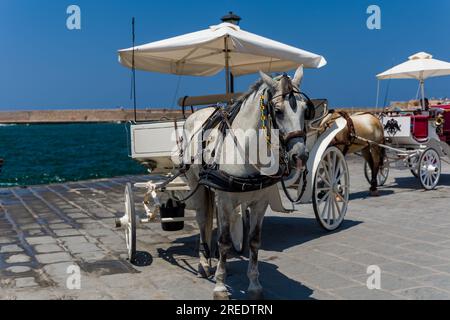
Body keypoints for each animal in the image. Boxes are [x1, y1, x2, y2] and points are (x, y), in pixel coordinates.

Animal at [181, 65, 312, 300]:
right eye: (278, 110)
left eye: (306, 110)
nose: (300, 156)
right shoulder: (225, 201)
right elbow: (224, 242)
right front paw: (220, 286)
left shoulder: (260, 203)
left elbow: (254, 241)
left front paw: (254, 284)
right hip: (196, 184)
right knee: (202, 219)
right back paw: (204, 264)